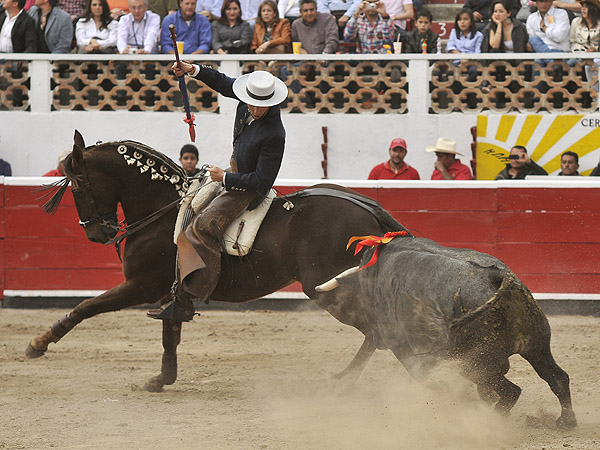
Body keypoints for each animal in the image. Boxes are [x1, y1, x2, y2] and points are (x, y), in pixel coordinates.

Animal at [25, 129, 406, 390]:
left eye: (77, 185)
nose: (96, 234)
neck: (160, 211)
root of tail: (368, 210)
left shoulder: (140, 286)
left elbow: (86, 306)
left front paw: (37, 344)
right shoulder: (170, 290)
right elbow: (170, 332)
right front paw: (163, 378)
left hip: (326, 289)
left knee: (378, 331)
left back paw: (347, 379)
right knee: (379, 331)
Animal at [316, 236, 580, 428]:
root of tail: (498, 276)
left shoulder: (404, 348)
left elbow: (426, 379)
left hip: (475, 363)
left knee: (511, 391)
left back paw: (491, 420)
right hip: (536, 344)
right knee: (557, 378)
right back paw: (565, 422)